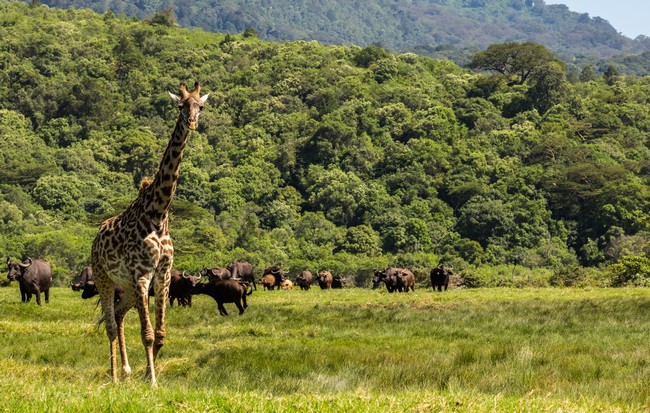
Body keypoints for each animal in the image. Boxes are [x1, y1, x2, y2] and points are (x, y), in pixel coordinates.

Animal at [91, 81, 206, 386]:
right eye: (180, 105)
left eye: (200, 106)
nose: (192, 122)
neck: (158, 214)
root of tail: (95, 238)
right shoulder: (142, 274)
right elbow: (147, 334)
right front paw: (152, 381)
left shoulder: (162, 274)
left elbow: (161, 334)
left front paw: (146, 374)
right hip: (104, 277)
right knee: (109, 323)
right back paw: (114, 376)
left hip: (128, 286)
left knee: (119, 315)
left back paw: (127, 371)